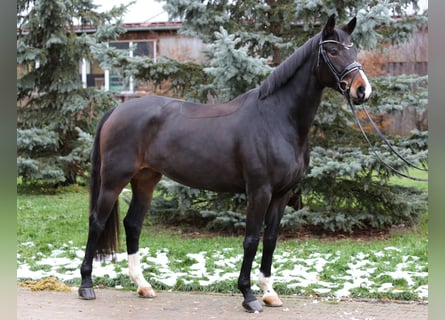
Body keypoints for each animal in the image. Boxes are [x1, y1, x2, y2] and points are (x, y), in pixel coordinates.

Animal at [79, 15, 372, 312]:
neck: (277, 118)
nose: (362, 90)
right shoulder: (259, 191)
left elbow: (270, 239)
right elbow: (251, 240)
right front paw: (249, 296)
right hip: (114, 180)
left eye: (354, 49)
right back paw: (86, 285)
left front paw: (269, 292)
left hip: (146, 180)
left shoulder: (282, 194)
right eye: (332, 51)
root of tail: (117, 109)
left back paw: (143, 285)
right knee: (97, 222)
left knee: (133, 224)